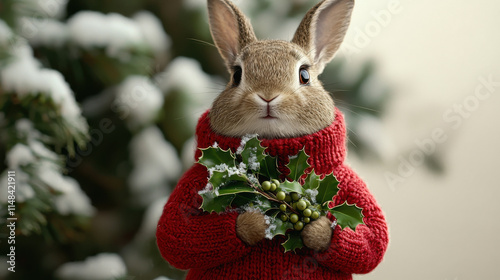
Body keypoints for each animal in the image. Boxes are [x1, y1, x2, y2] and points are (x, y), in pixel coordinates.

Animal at [158, 0, 388, 278]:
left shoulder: (347, 181)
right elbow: (176, 234)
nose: (268, 95)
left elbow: (371, 239)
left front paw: (317, 230)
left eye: (304, 75)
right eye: (237, 75)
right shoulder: (194, 181)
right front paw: (256, 221)